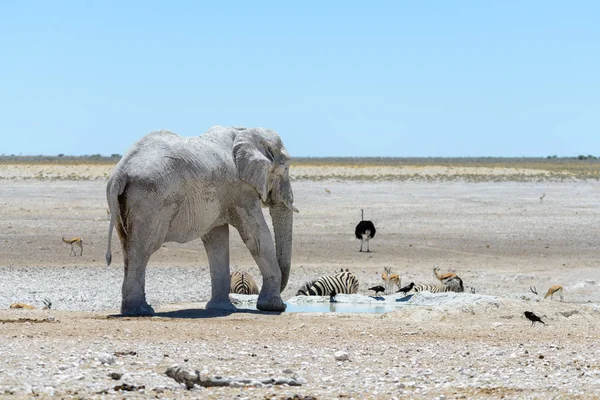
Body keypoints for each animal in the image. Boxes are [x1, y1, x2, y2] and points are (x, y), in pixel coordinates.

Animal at [107, 126, 298, 316]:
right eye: (285, 169)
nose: (285, 304)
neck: (244, 131)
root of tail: (119, 173)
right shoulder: (240, 190)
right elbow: (256, 237)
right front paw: (273, 307)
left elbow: (217, 240)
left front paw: (221, 308)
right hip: (150, 199)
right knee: (143, 249)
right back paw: (141, 311)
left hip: (126, 202)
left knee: (128, 247)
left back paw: (133, 310)